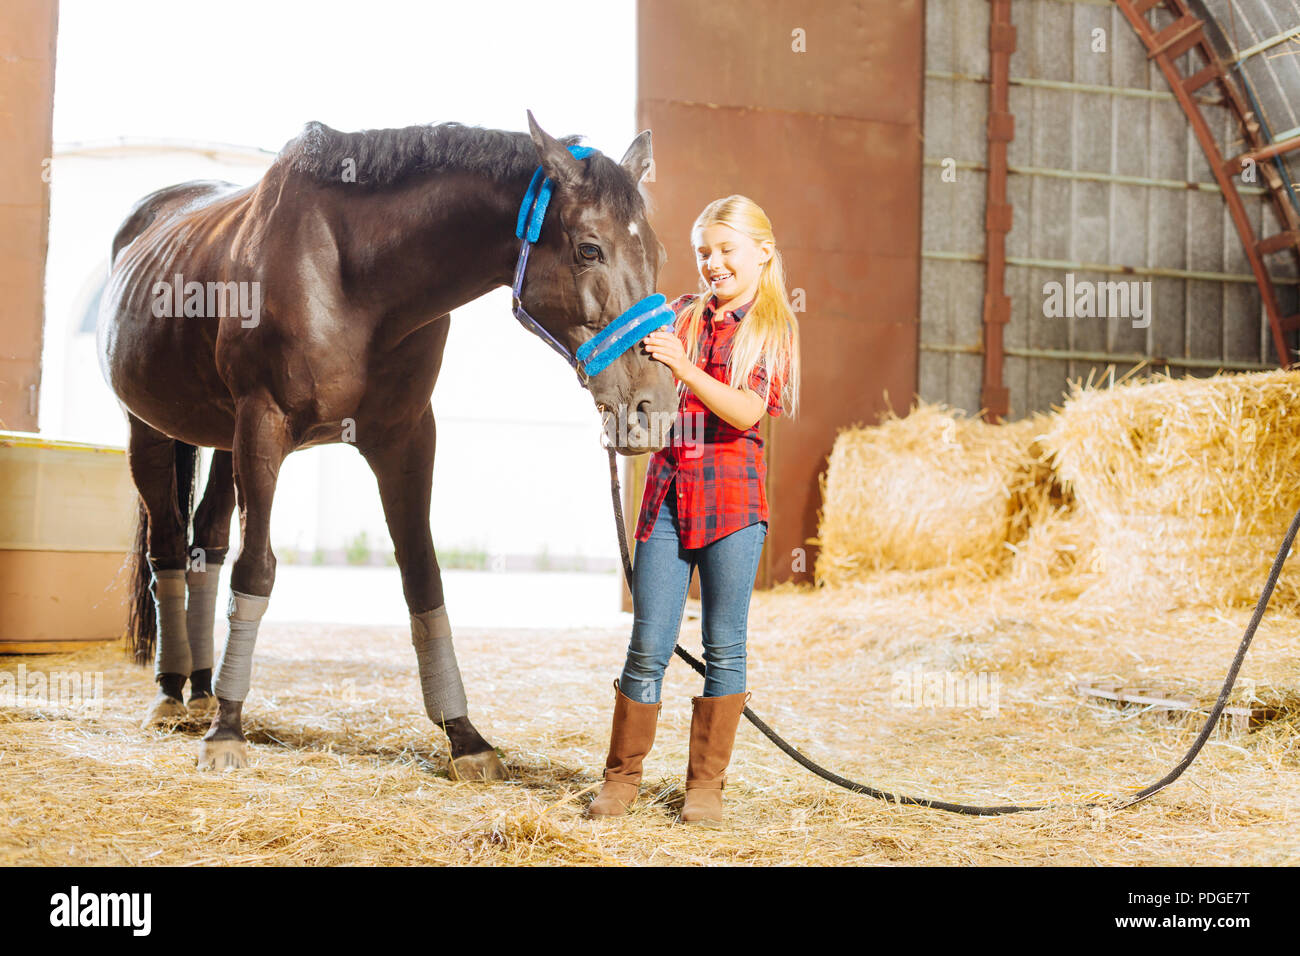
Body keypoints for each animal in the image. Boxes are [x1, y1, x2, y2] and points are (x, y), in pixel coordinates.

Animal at [96, 111, 674, 778]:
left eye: (655, 251)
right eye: (589, 249)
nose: (655, 411)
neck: (351, 276)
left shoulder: (405, 437)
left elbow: (423, 576)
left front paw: (464, 737)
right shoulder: (263, 426)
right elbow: (257, 569)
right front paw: (227, 732)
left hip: (221, 441)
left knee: (206, 543)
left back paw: (202, 687)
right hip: (151, 432)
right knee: (167, 547)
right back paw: (173, 694)